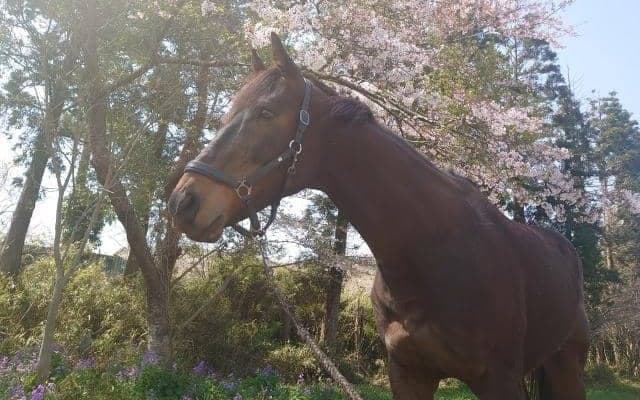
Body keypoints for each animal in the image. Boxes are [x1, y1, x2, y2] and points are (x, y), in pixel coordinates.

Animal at [168, 33, 588, 400]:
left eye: (265, 112)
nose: (182, 202)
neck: (432, 252)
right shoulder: (407, 374)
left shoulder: (498, 380)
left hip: (568, 365)